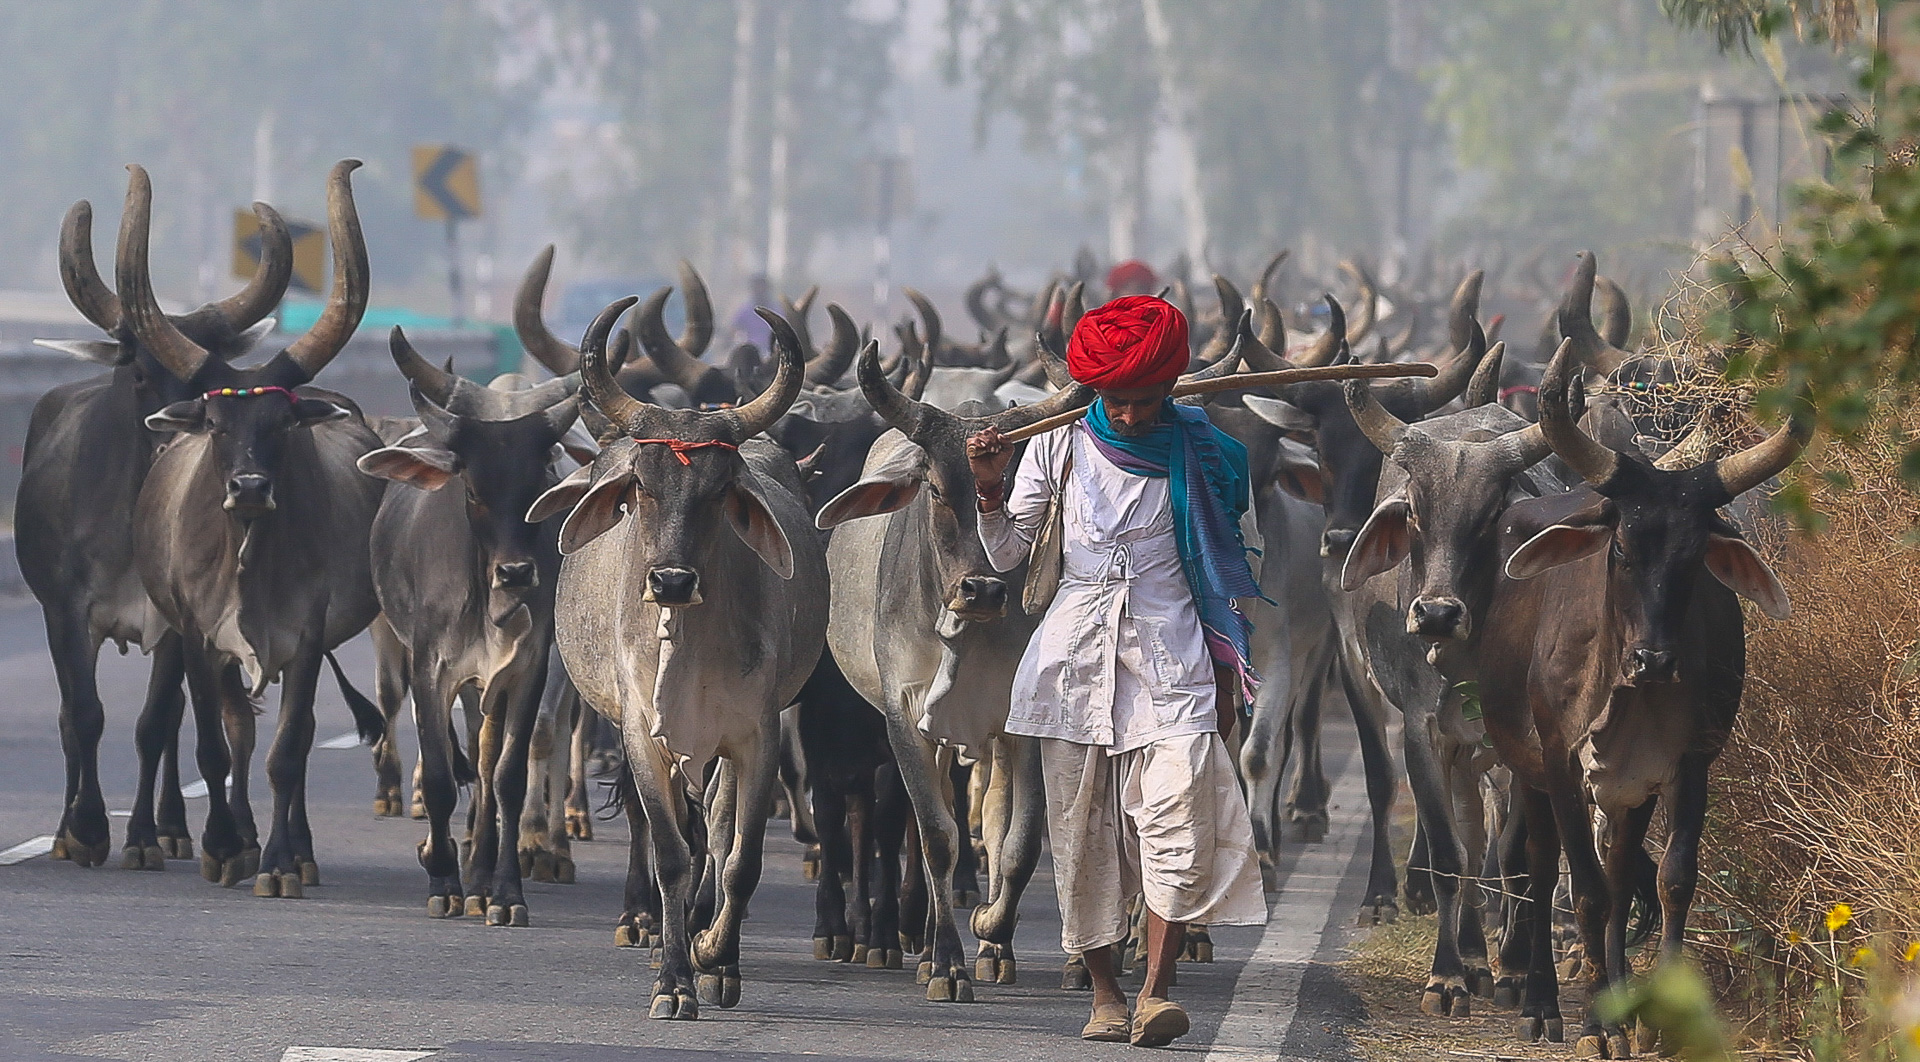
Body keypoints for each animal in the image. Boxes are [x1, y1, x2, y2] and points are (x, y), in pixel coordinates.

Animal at [16, 186, 291, 864]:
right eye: (140, 370)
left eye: (218, 380)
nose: (179, 438)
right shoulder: (65, 612)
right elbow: (83, 715)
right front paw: (85, 828)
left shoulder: (172, 622)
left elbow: (153, 723)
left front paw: (140, 835)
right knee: (72, 718)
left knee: (181, 724)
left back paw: (173, 827)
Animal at [127, 159, 385, 894]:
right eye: (216, 424)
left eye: (282, 422)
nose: (247, 488)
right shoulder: (194, 635)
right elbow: (216, 748)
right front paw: (223, 844)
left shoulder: (307, 637)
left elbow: (288, 751)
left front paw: (278, 863)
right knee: (237, 729)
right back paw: (239, 836)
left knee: (287, 743)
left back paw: (294, 847)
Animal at [359, 326, 583, 921]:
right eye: (475, 490)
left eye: (540, 485)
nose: (516, 572)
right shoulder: (430, 670)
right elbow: (440, 775)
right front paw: (442, 881)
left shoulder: (527, 670)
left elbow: (505, 776)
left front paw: (503, 891)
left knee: (484, 764)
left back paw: (480, 873)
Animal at [533, 299, 825, 1021]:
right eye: (642, 483)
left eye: (722, 487)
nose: (669, 581)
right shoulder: (643, 732)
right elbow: (671, 851)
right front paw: (673, 979)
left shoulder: (755, 735)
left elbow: (739, 855)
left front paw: (716, 959)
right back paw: (647, 922)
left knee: (715, 834)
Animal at [810, 341, 1090, 998]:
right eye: (935, 489)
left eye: (1010, 487)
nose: (982, 588)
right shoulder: (904, 717)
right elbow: (936, 835)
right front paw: (946, 963)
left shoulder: (1020, 722)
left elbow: (1017, 841)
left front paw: (990, 930)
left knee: (991, 816)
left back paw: (992, 944)